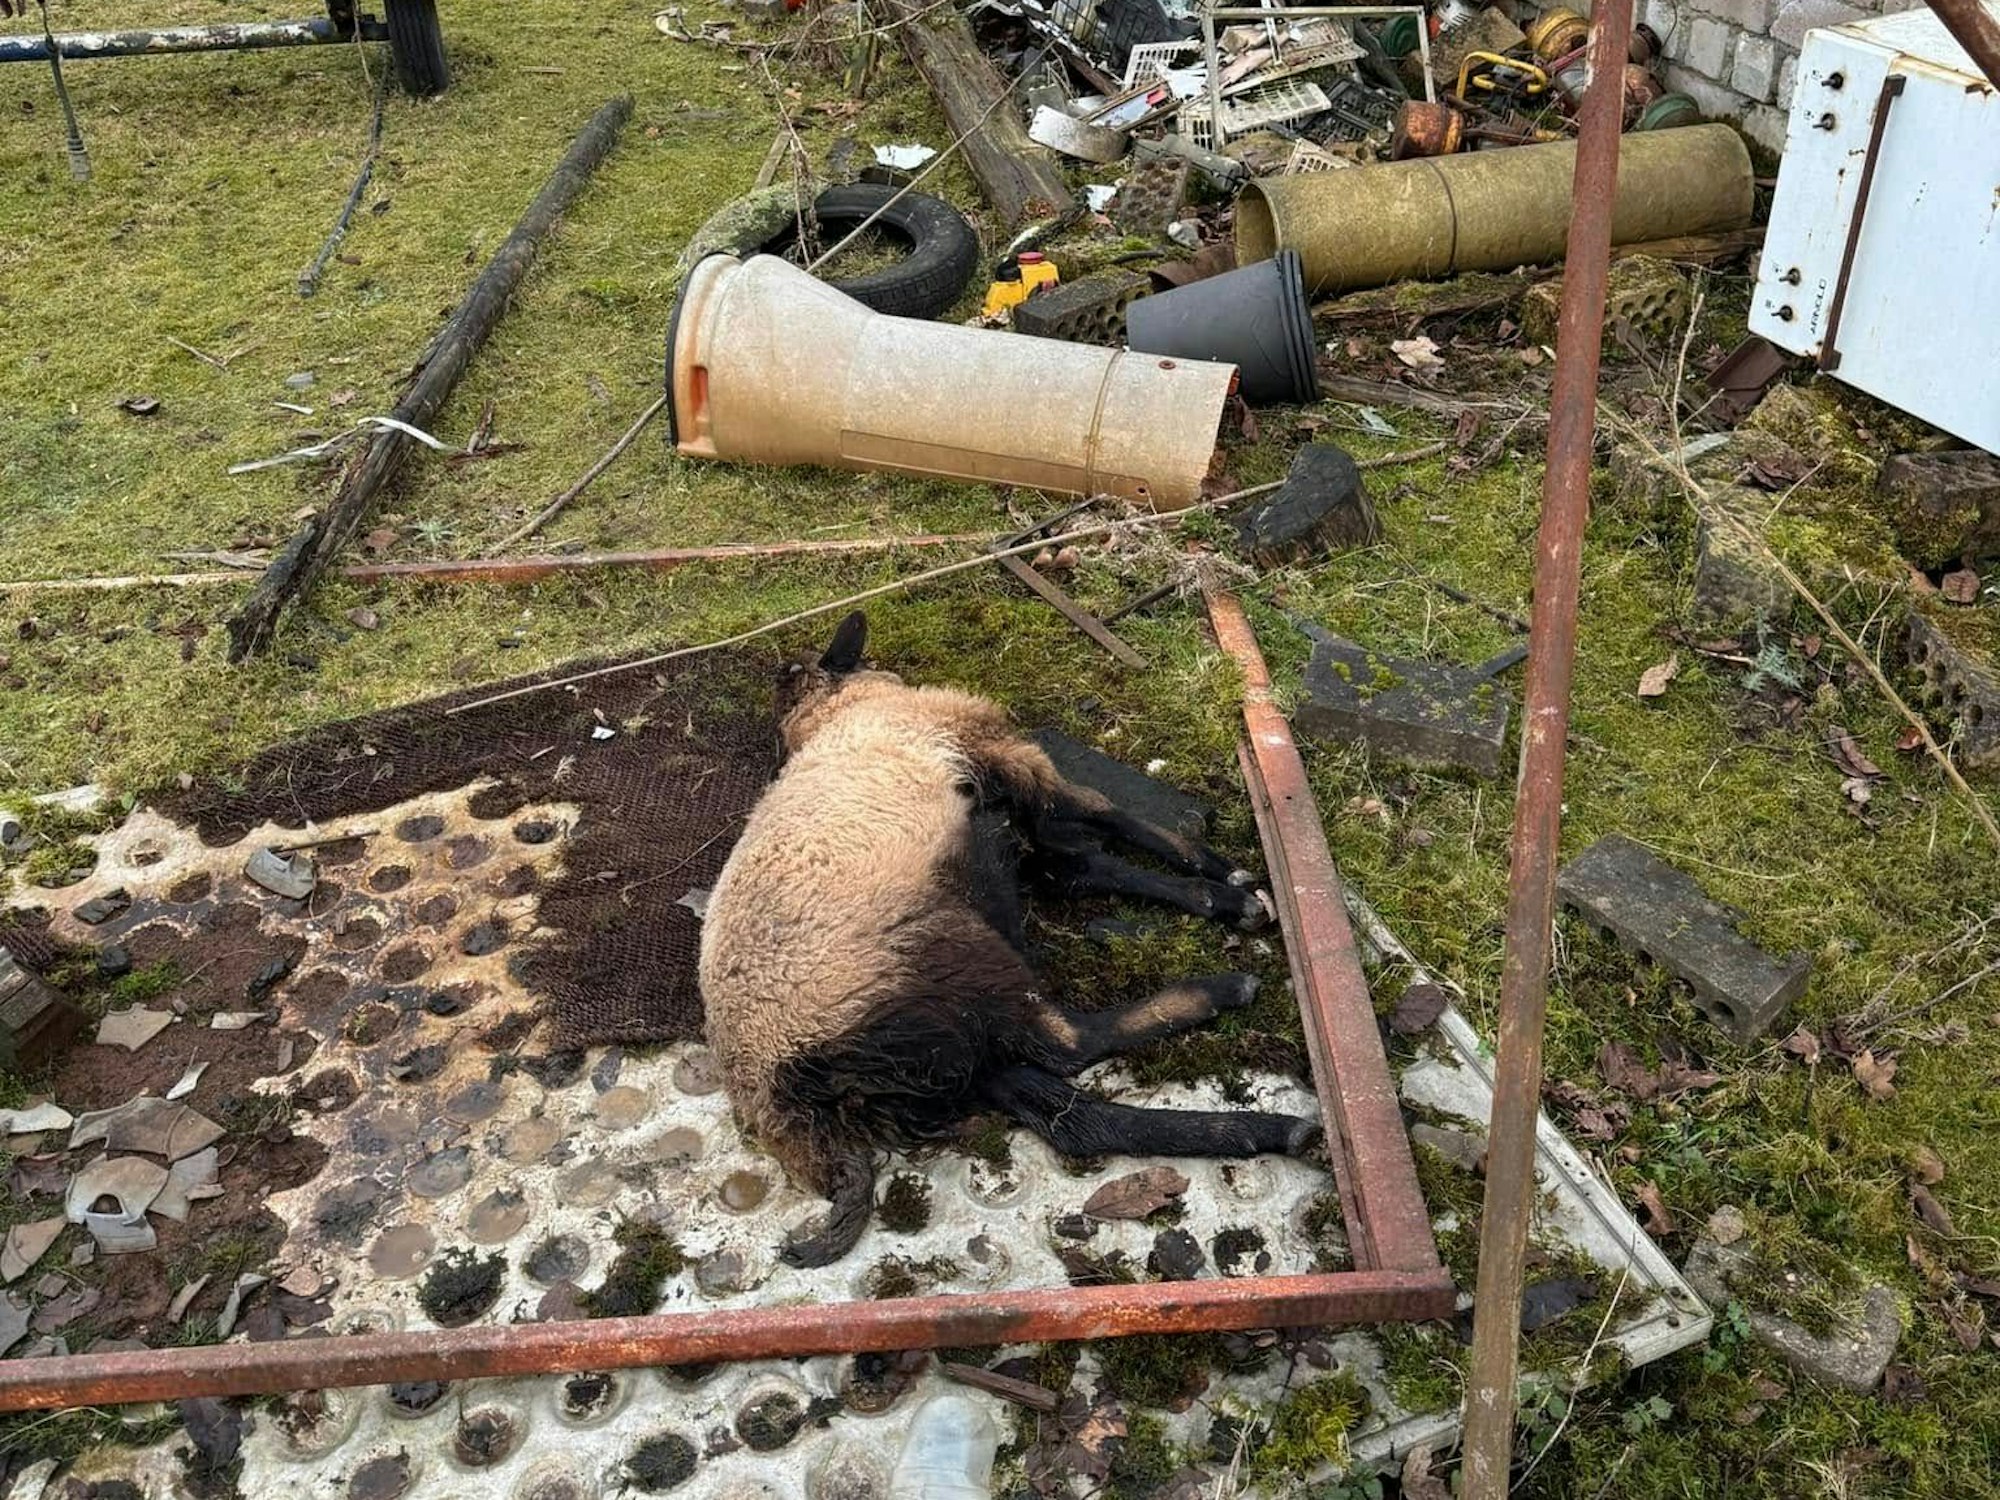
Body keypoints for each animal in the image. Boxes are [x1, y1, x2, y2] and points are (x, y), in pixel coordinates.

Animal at [698, 612, 1321, 1267]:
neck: (840, 711)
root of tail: (789, 1099)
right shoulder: (1005, 756)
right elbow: (1104, 811)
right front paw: (1226, 881)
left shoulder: (1011, 825)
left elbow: (1081, 864)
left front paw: (1217, 890)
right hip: (953, 966)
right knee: (1070, 1042)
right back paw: (1225, 994)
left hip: (949, 1057)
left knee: (1076, 1121)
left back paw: (1271, 1130)